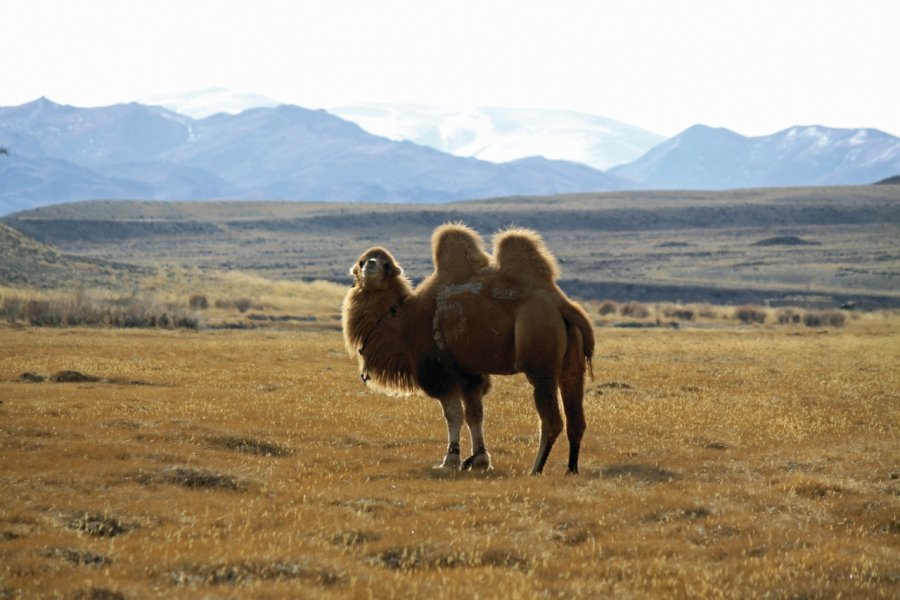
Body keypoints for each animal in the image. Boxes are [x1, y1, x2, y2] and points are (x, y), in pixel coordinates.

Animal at [342, 223, 596, 476]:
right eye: (362, 261)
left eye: (385, 264)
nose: (370, 265)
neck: (405, 319)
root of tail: (563, 305)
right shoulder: (470, 373)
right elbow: (475, 414)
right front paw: (479, 460)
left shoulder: (440, 371)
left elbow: (453, 415)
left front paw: (450, 460)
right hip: (571, 362)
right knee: (576, 417)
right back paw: (571, 469)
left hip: (540, 354)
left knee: (552, 420)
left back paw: (535, 469)